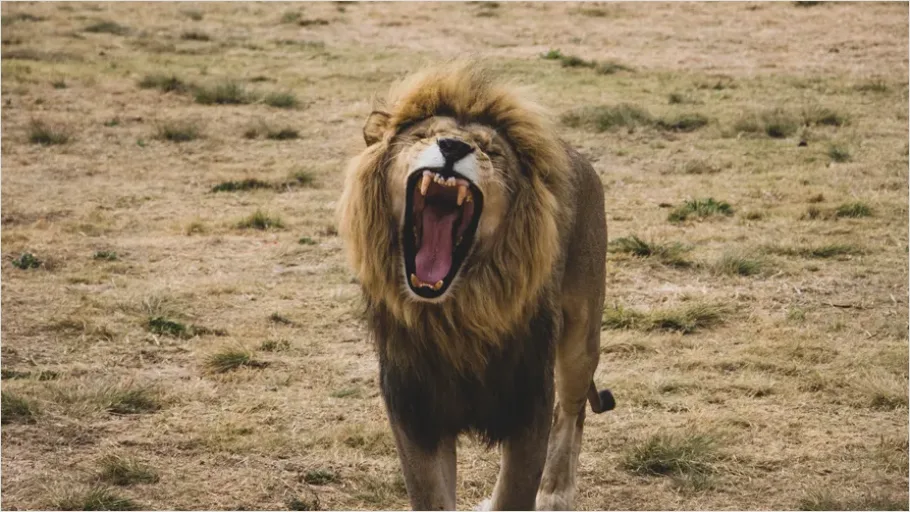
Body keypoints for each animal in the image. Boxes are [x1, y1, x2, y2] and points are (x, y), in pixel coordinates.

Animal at [338, 62, 614, 511]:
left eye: (491, 150)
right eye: (422, 136)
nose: (452, 146)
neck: (458, 313)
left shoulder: (527, 404)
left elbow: (514, 493)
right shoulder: (416, 412)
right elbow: (431, 497)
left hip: (580, 338)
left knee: (572, 411)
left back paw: (556, 490)